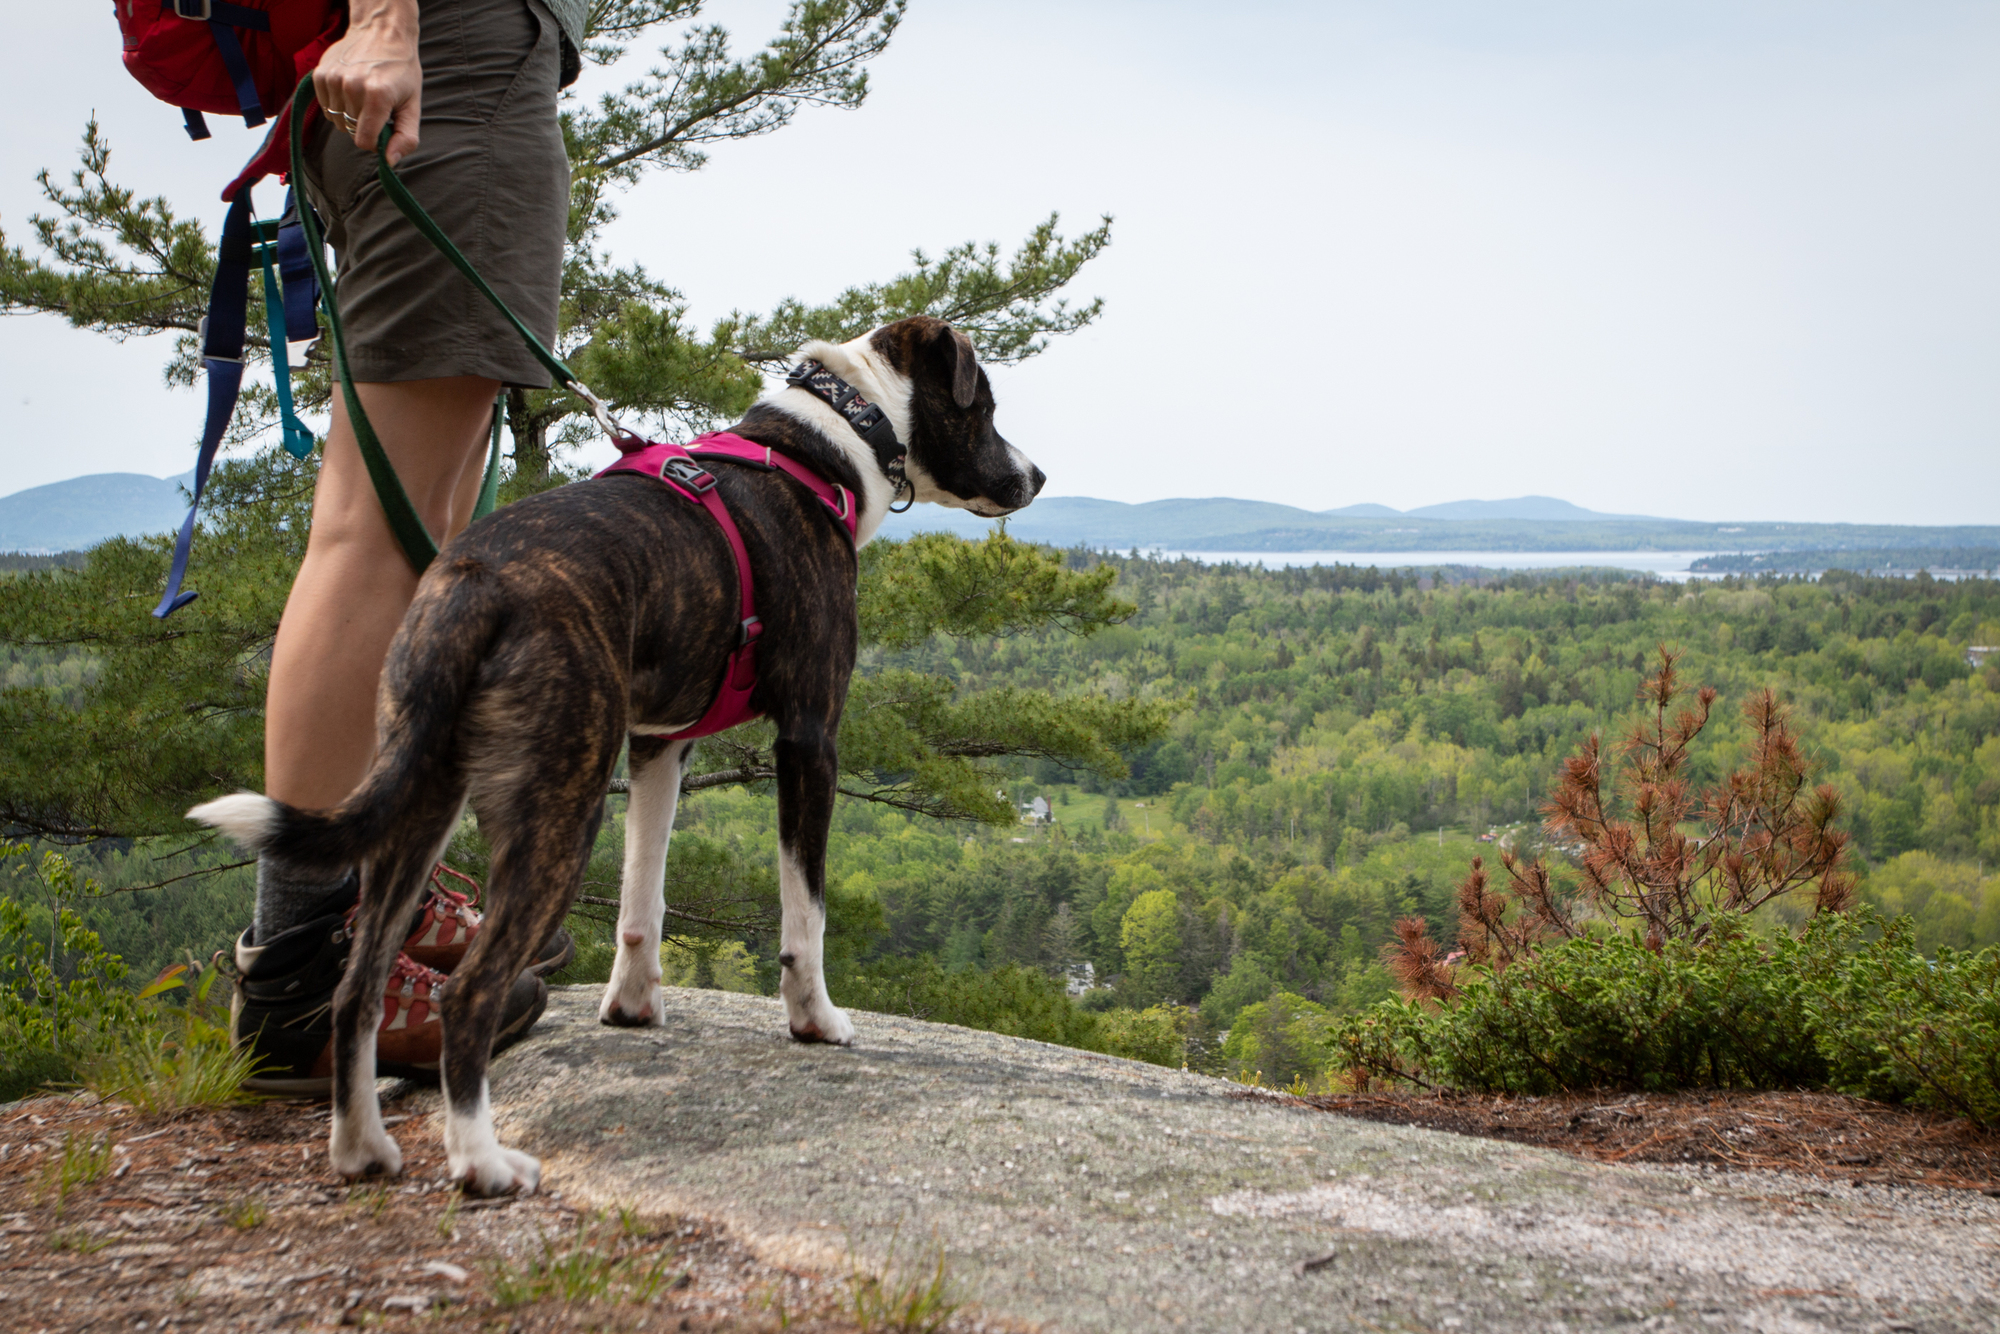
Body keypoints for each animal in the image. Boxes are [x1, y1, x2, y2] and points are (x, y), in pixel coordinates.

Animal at [191, 318, 1048, 1192]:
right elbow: (805, 906)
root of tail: (474, 585)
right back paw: (481, 1161)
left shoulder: (659, 745)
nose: (1037, 476)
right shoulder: (811, 738)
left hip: (419, 803)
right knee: (466, 993)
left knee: (357, 989)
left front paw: (632, 1007)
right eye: (983, 408)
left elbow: (644, 895)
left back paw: (361, 1146)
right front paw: (816, 1019)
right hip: (560, 813)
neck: (833, 437)